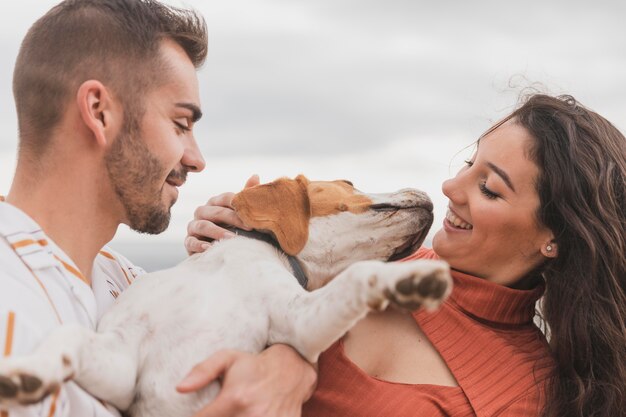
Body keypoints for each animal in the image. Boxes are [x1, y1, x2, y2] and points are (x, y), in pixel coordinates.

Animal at [0, 176, 450, 416]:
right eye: (350, 184)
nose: (431, 195)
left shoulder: (300, 323)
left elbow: (357, 275)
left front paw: (409, 280)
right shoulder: (122, 366)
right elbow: (69, 338)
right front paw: (29, 372)